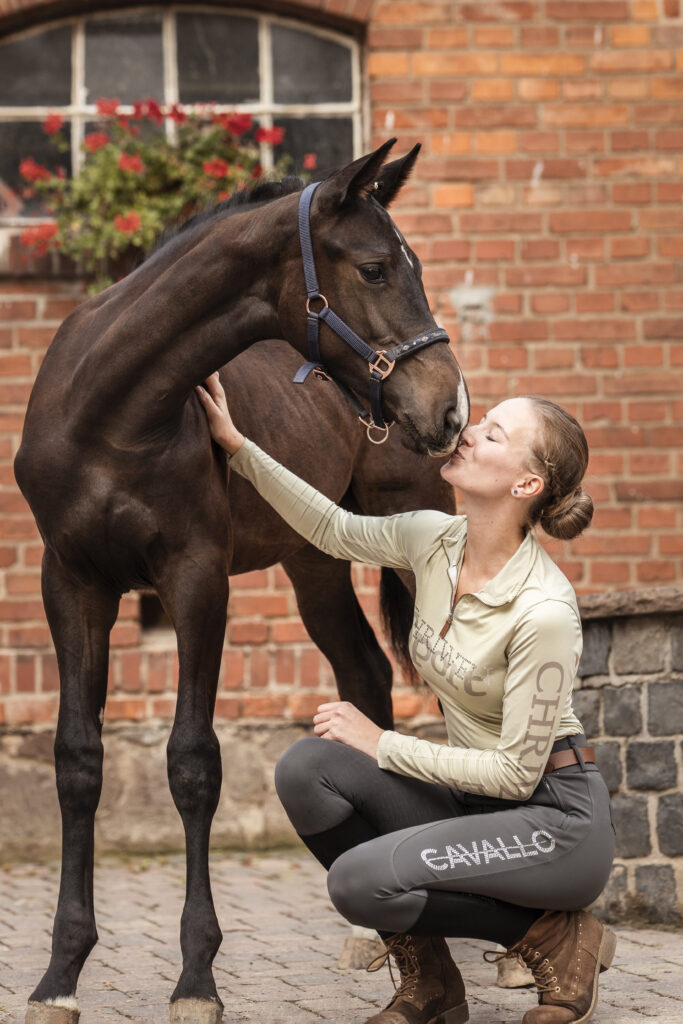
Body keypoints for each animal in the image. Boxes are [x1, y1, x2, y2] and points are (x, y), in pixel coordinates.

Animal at [13, 144, 466, 1024]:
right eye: (374, 267)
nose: (448, 408)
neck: (110, 415)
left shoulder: (196, 579)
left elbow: (193, 763)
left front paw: (196, 978)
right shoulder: (72, 583)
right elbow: (77, 759)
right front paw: (60, 975)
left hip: (414, 532)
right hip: (315, 557)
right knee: (363, 672)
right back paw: (365, 930)